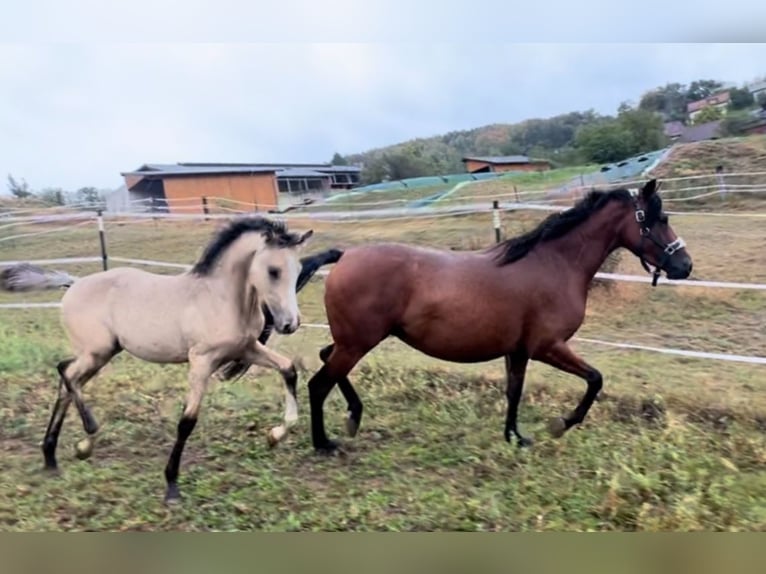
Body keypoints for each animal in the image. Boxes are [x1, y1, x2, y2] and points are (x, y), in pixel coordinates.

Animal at [2, 216, 324, 504]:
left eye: (297, 269)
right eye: (273, 271)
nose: (289, 324)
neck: (220, 299)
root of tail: (73, 284)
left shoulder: (246, 349)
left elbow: (288, 369)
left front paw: (275, 434)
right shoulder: (202, 361)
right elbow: (187, 422)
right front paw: (171, 486)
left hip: (102, 353)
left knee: (66, 381)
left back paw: (53, 456)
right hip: (96, 351)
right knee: (66, 374)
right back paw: (86, 438)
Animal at [304, 180, 692, 454]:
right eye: (659, 219)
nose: (685, 265)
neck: (554, 264)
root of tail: (345, 256)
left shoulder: (517, 351)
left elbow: (514, 391)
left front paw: (514, 436)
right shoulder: (547, 346)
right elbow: (595, 379)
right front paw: (561, 424)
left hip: (352, 341)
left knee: (325, 358)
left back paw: (353, 416)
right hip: (357, 343)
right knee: (318, 384)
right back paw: (325, 443)